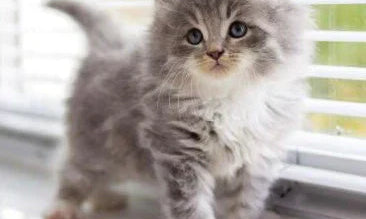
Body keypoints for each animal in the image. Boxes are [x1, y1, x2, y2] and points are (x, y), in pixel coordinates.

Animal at [45, 0, 312, 219]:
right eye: (194, 36)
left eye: (238, 29)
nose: (215, 52)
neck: (226, 98)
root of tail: (109, 45)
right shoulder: (179, 156)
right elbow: (192, 207)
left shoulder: (255, 162)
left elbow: (244, 205)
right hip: (94, 144)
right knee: (71, 170)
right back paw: (64, 207)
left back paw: (106, 199)